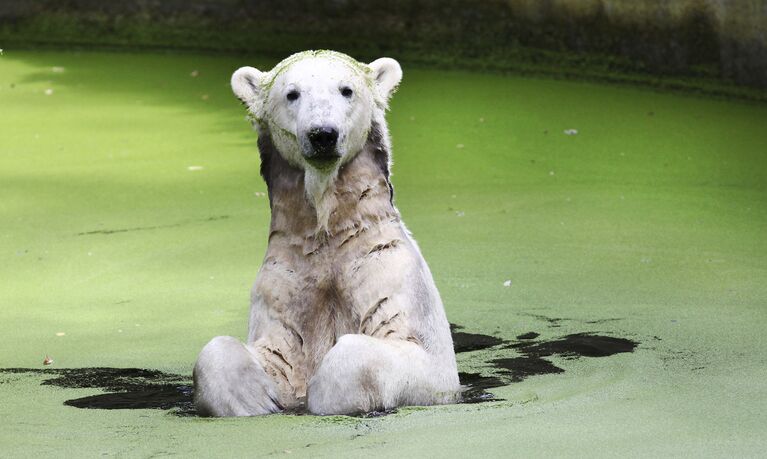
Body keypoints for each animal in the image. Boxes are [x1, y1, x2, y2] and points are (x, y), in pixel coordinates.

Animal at [195, 51, 460, 416]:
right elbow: (254, 353)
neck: (329, 231)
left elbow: (406, 355)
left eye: (346, 90)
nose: (323, 134)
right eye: (292, 93)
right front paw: (258, 398)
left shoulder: (392, 272)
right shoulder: (285, 283)